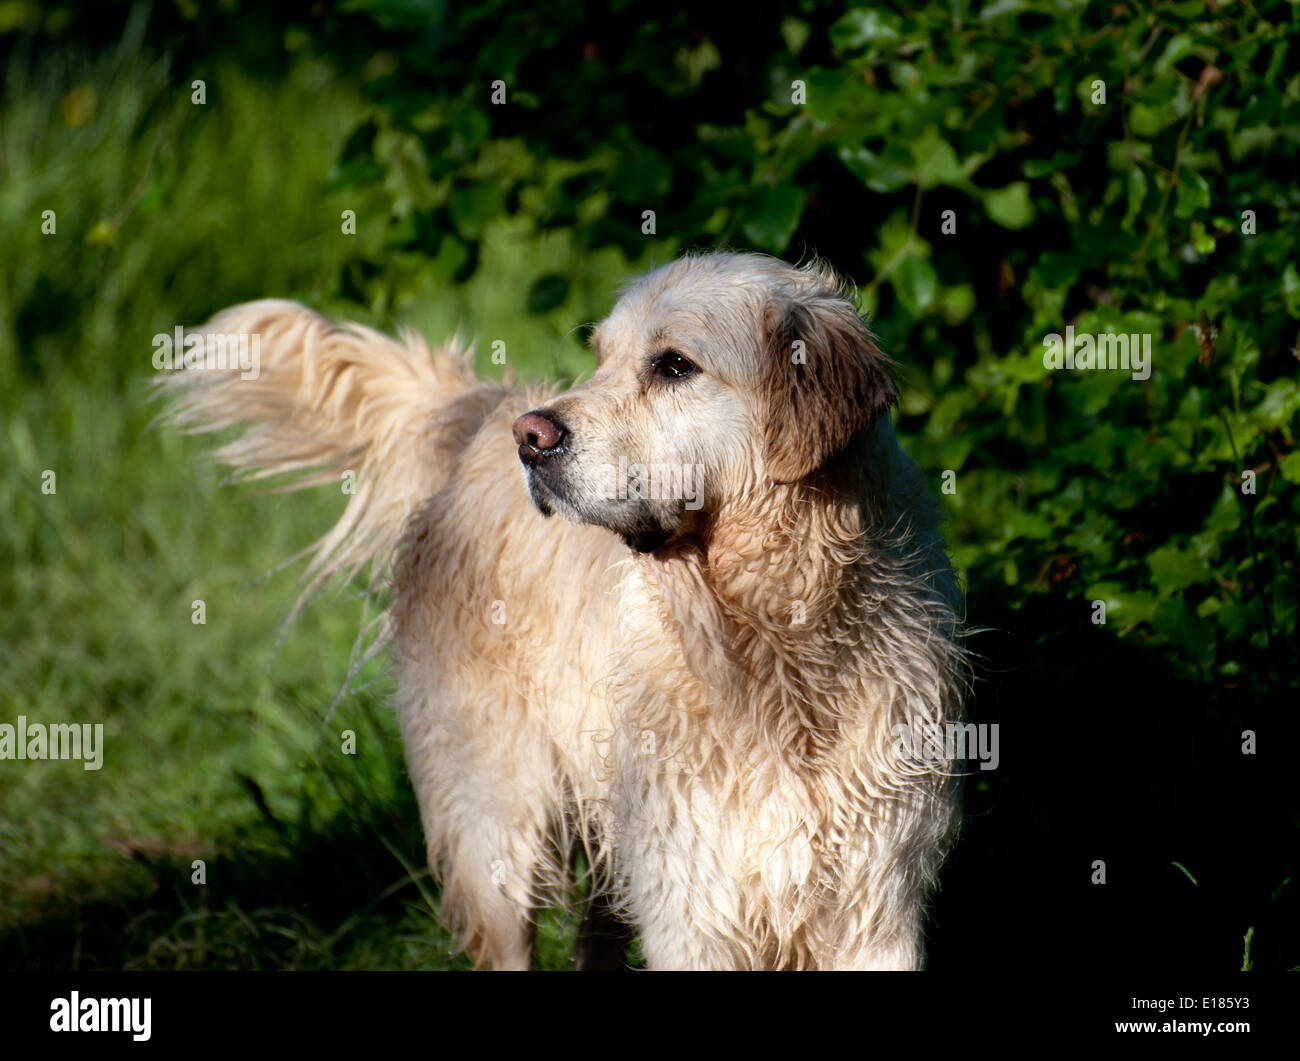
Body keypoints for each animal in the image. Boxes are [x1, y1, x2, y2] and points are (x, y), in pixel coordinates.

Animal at [159, 250, 967, 967]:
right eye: (601, 357)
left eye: (675, 365)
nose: (533, 436)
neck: (770, 639)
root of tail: (482, 414)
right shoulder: (693, 906)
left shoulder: (877, 901)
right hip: (497, 826)